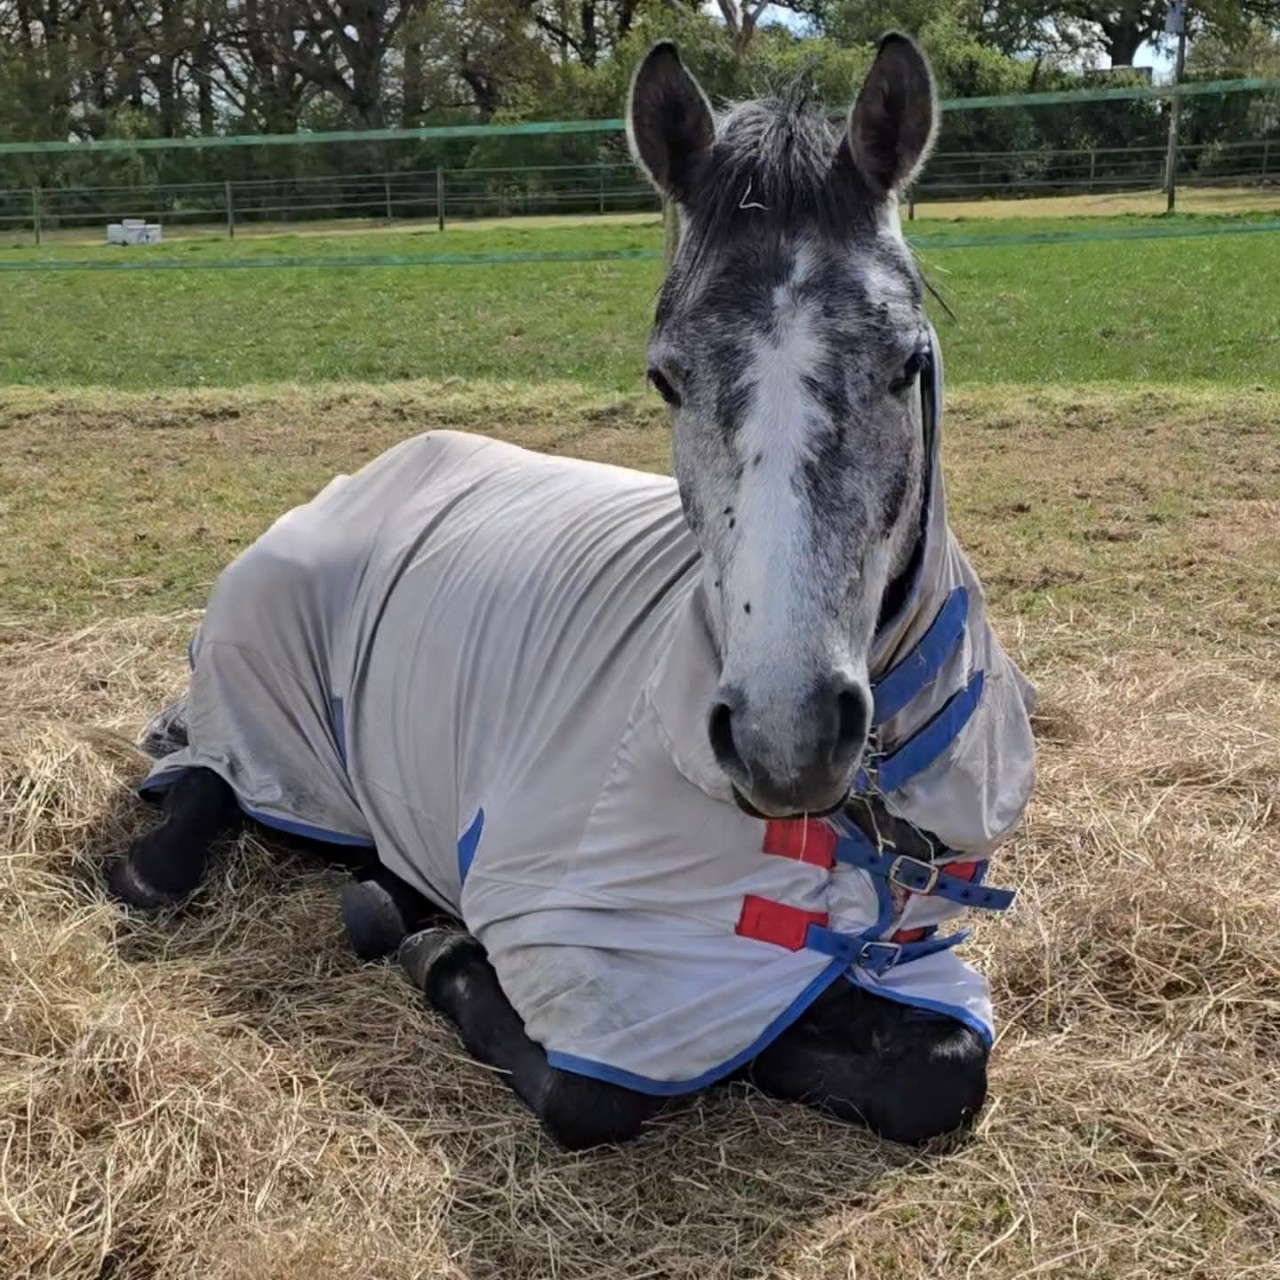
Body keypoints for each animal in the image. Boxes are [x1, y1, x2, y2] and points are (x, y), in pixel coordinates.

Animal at [107, 34, 1036, 1152]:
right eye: (665, 378)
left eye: (904, 363)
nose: (787, 737)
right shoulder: (583, 953)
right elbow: (592, 1095)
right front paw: (435, 946)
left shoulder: (902, 953)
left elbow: (942, 1072)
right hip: (261, 711)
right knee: (193, 801)